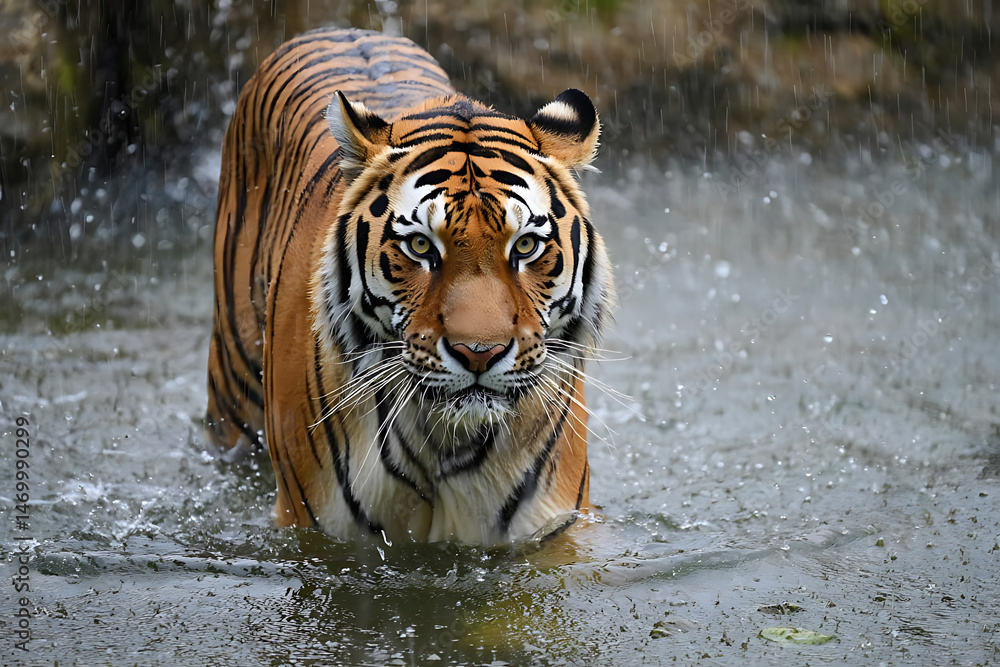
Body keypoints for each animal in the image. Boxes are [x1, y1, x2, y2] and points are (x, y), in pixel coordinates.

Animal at [206, 27, 613, 545]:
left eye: (524, 246)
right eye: (420, 245)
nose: (478, 353)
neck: (446, 440)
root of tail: (343, 29)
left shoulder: (553, 526)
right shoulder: (310, 528)